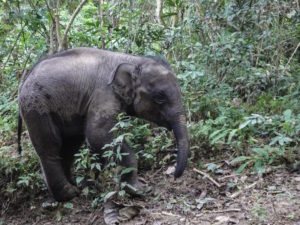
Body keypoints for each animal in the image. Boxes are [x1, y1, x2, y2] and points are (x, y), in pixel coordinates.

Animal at [17, 46, 189, 201]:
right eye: (160, 97)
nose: (174, 175)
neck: (132, 60)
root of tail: (24, 81)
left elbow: (99, 139)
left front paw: (94, 183)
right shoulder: (104, 94)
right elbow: (97, 134)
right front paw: (138, 190)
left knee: (70, 145)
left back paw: (73, 186)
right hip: (36, 107)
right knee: (50, 146)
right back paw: (67, 194)